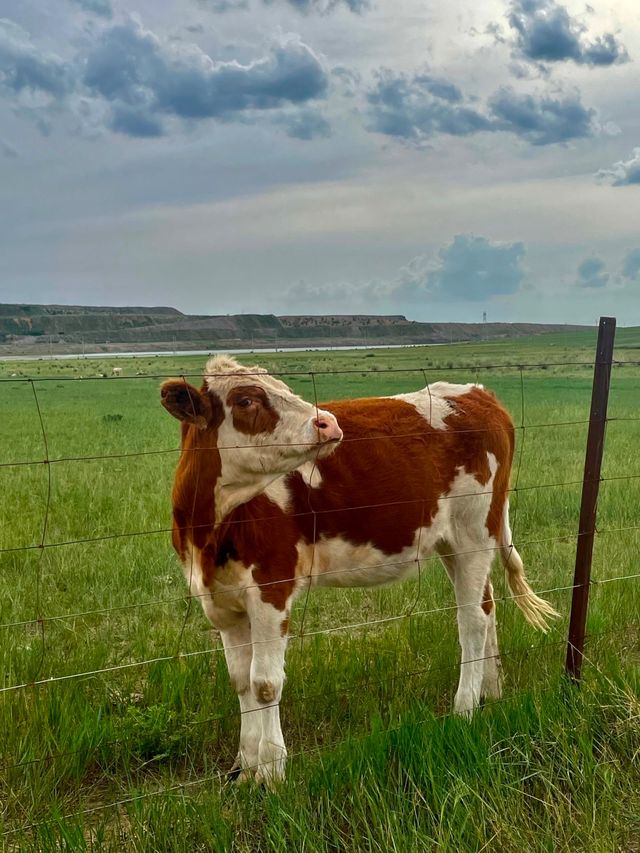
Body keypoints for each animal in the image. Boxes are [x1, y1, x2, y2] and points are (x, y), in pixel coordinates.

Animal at [160, 356, 556, 784]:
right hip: (453, 541)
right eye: (246, 400)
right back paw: (492, 691)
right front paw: (244, 769)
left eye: (282, 388)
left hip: (474, 531)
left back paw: (464, 709)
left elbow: (264, 683)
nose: (328, 423)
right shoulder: (222, 602)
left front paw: (272, 773)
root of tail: (477, 393)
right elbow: (240, 682)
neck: (210, 532)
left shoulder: (271, 587)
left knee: (472, 621)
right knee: (487, 607)